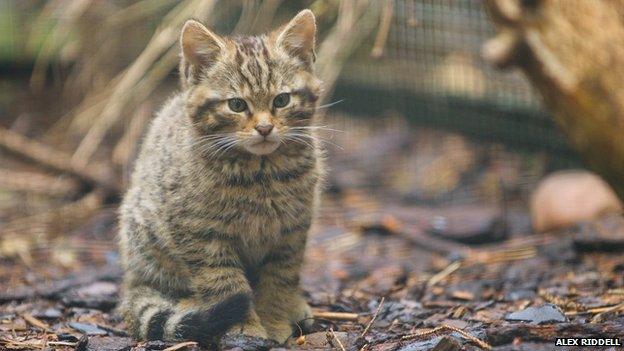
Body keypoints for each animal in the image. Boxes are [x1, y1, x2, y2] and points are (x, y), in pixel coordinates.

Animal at [117, 9, 324, 346]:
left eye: (281, 100)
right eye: (236, 105)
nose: (265, 128)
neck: (260, 172)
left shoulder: (291, 230)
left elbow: (280, 278)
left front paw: (274, 318)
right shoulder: (199, 233)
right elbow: (224, 283)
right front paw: (245, 328)